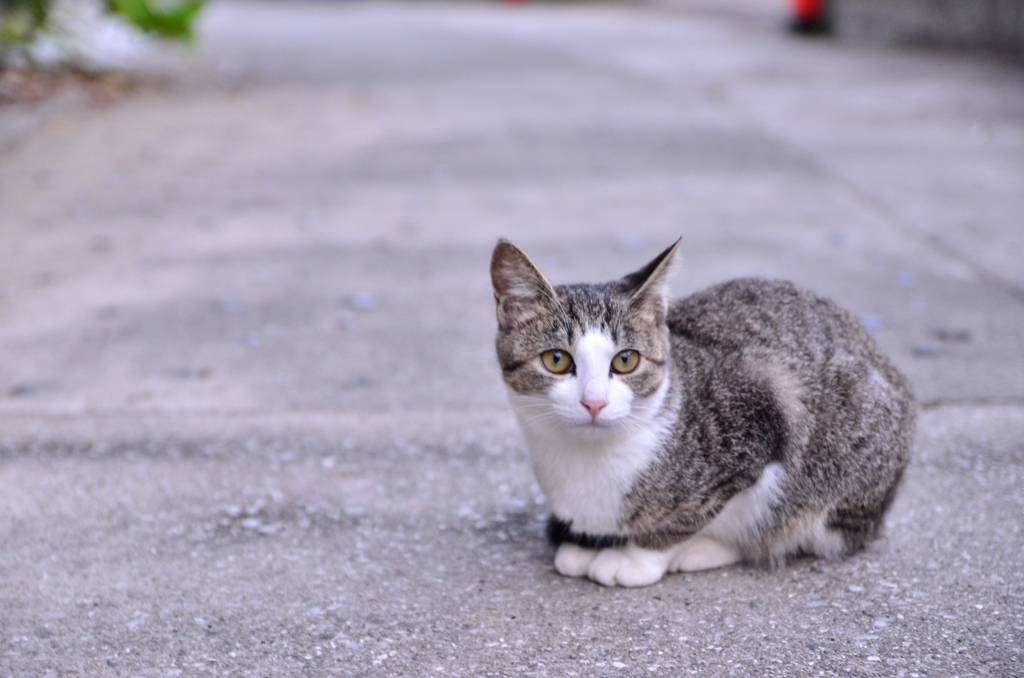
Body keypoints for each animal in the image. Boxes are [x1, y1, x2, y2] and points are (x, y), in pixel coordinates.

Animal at [487, 240, 913, 589]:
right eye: (556, 360)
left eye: (625, 360)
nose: (594, 402)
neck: (585, 459)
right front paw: (587, 543)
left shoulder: (762, 412)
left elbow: (687, 519)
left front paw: (636, 559)